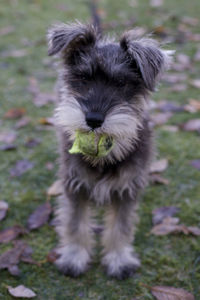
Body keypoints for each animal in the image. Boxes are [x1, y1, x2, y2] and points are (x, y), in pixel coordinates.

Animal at [47, 22, 172, 280]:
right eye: (83, 78)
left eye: (121, 83)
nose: (94, 119)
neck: (105, 159)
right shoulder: (76, 185)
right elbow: (75, 223)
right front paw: (74, 257)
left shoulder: (126, 189)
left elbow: (120, 227)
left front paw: (119, 259)